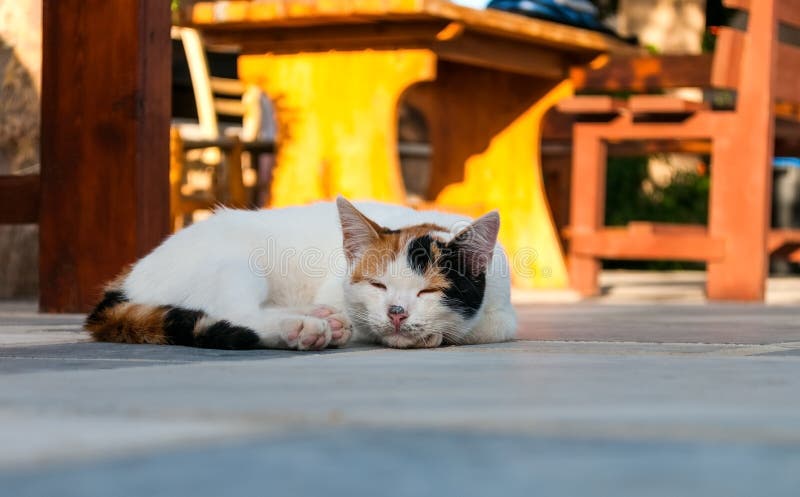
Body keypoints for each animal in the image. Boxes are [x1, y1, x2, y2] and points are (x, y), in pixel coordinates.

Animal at [84, 197, 516, 348]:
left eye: (428, 292)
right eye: (378, 285)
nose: (396, 312)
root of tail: (126, 281)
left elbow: (495, 326)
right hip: (236, 261)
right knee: (235, 312)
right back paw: (303, 327)